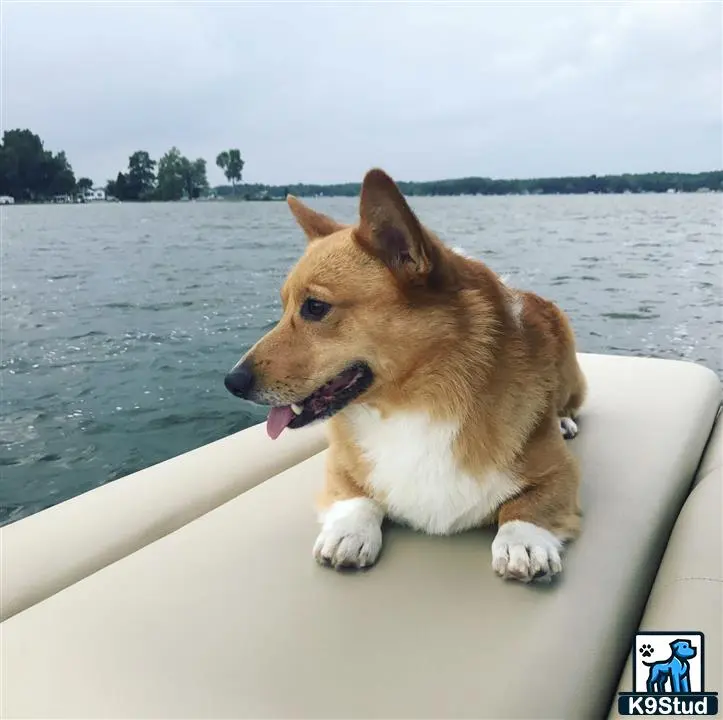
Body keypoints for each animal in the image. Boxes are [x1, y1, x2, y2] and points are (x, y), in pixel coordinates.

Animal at [226, 170, 588, 584]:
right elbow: (357, 496)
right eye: (284, 306)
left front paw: (523, 543)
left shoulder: (561, 472)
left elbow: (525, 508)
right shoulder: (339, 464)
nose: (231, 382)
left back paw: (563, 421)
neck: (414, 401)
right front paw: (348, 534)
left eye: (315, 307)